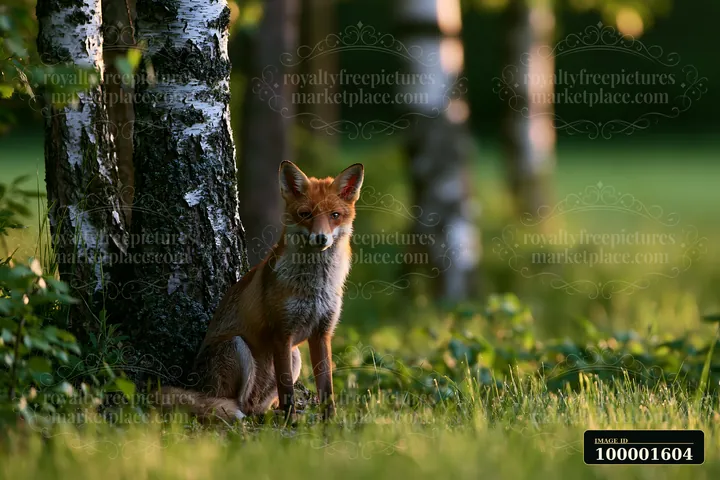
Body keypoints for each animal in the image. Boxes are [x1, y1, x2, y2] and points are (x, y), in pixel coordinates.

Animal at [158, 161, 364, 422]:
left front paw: (330, 422)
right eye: (305, 214)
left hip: (295, 357)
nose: (321, 238)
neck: (314, 287)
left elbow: (326, 387)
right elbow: (287, 389)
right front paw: (290, 421)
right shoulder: (281, 333)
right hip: (237, 347)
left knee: (252, 407)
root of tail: (195, 382)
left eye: (334, 215)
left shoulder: (322, 333)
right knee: (229, 404)